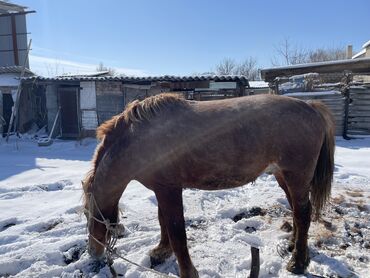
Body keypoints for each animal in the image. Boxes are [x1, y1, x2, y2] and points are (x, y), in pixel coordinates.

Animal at [83, 93, 336, 276]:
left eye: (88, 213)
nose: (93, 252)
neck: (139, 139)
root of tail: (311, 107)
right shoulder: (161, 188)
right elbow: (163, 221)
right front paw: (161, 251)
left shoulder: (169, 189)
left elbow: (177, 231)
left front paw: (187, 271)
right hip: (284, 177)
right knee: (296, 211)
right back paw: (293, 246)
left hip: (297, 177)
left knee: (303, 214)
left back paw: (298, 263)